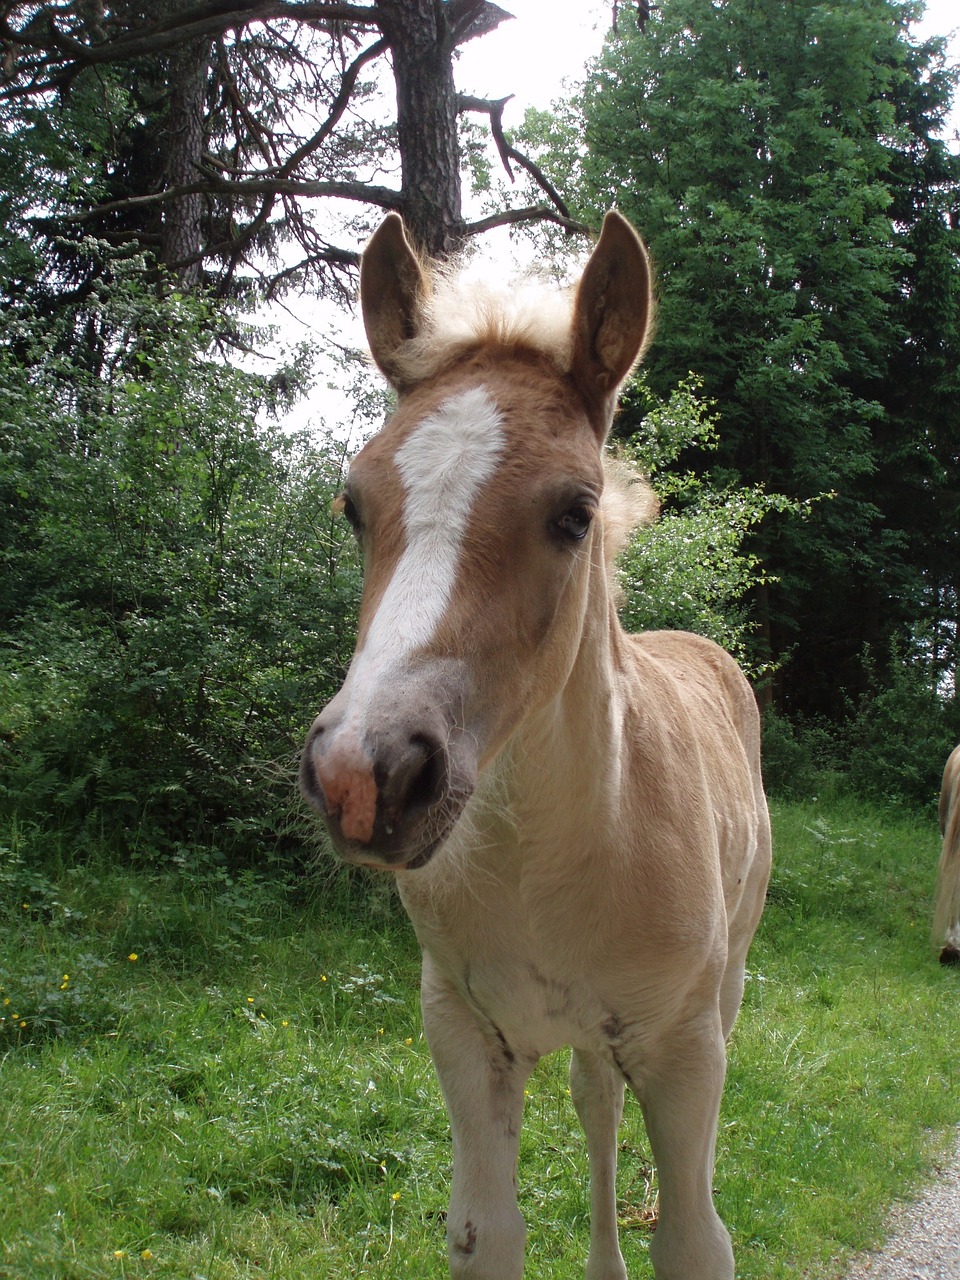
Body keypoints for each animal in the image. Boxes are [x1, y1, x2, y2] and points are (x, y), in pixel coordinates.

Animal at [300, 212, 773, 1280]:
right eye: (353, 504)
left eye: (575, 513)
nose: (365, 776)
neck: (548, 859)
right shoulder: (463, 1030)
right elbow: (488, 1230)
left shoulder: (685, 1052)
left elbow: (696, 1239)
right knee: (595, 1102)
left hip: (720, 989)